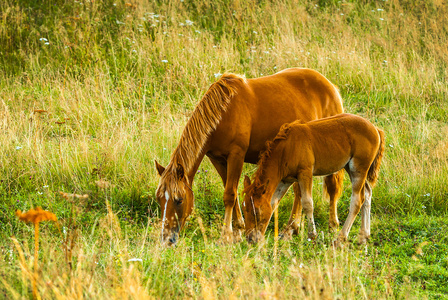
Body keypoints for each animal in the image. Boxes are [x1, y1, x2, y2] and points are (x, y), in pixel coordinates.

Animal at [154, 67, 344, 245]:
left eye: (179, 200)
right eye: (159, 199)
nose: (166, 239)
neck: (224, 112)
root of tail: (330, 86)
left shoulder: (236, 155)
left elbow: (229, 195)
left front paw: (226, 235)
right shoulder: (217, 159)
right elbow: (232, 192)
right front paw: (238, 230)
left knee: (332, 187)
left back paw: (331, 226)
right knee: (299, 191)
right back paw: (292, 229)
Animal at [242, 113, 384, 245]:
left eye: (256, 212)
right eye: (244, 209)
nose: (250, 239)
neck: (287, 148)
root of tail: (375, 129)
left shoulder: (305, 173)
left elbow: (307, 203)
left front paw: (312, 235)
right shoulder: (285, 180)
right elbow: (273, 203)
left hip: (358, 169)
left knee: (357, 200)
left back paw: (340, 238)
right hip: (351, 168)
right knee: (367, 193)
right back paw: (363, 236)